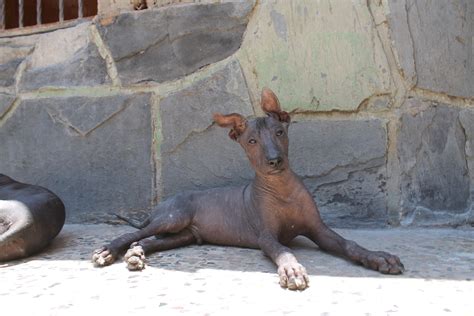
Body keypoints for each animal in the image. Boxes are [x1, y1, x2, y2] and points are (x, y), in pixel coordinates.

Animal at [92, 87, 404, 290]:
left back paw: (136, 254)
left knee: (147, 240)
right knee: (132, 234)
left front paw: (379, 258)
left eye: (280, 132)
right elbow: (283, 250)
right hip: (173, 217)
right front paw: (292, 270)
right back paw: (108, 251)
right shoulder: (266, 236)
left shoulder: (319, 230)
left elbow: (350, 244)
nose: (274, 160)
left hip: (185, 235)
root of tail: (163, 206)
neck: (282, 189)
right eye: (251, 141)